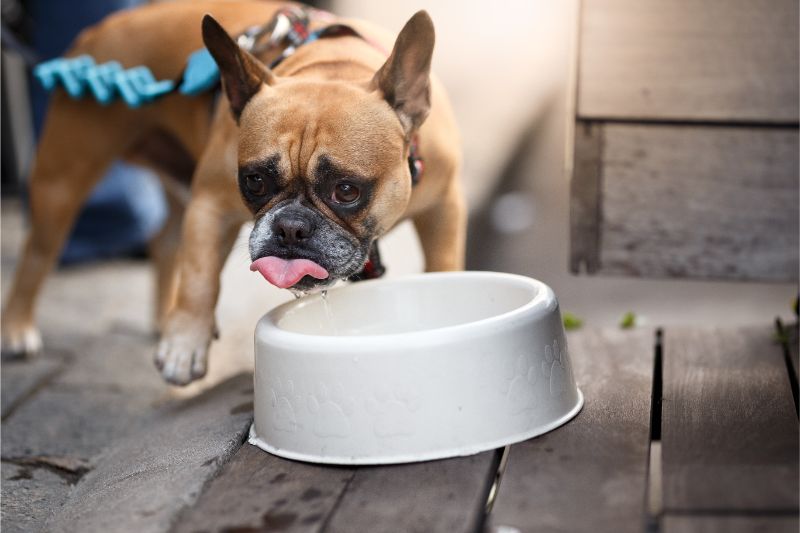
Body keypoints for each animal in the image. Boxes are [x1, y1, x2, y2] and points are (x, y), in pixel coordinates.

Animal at [0, 0, 466, 382]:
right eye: (255, 181)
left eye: (347, 190)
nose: (291, 227)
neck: (332, 65)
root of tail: (100, 29)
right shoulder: (210, 205)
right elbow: (200, 277)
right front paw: (185, 345)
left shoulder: (444, 206)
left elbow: (443, 262)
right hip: (62, 181)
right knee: (38, 254)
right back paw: (18, 329)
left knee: (164, 240)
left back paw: (161, 317)